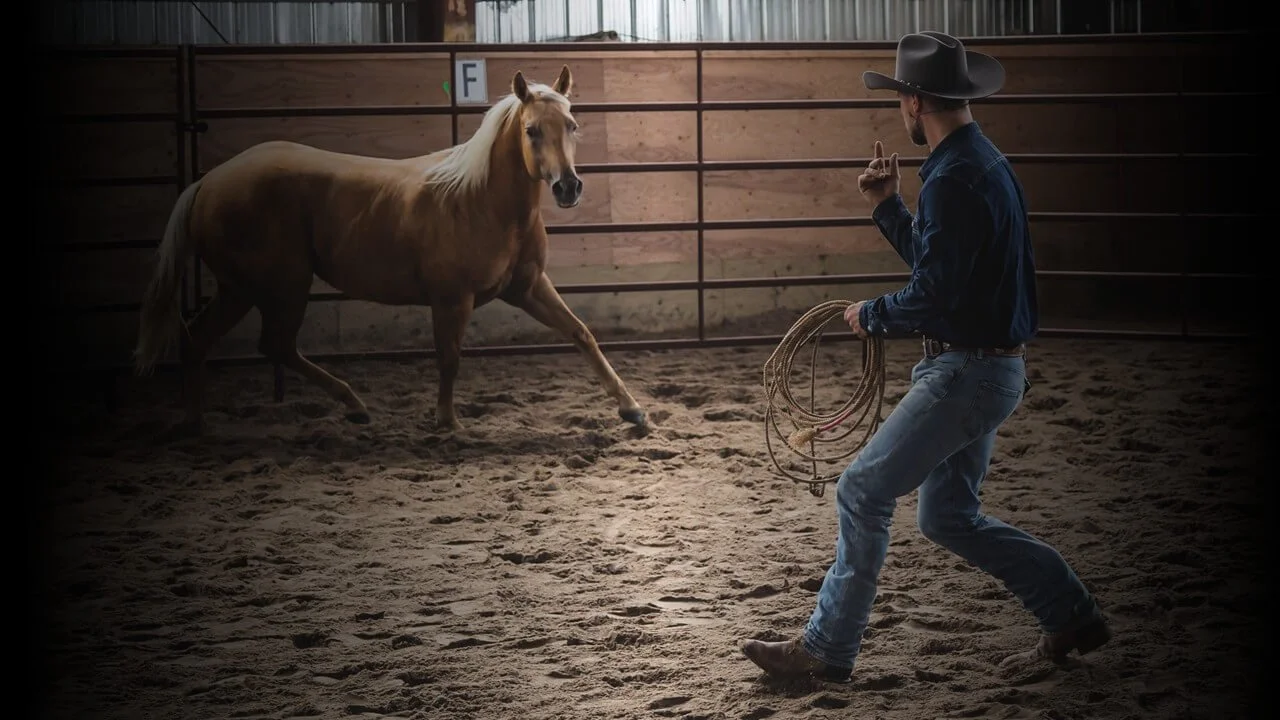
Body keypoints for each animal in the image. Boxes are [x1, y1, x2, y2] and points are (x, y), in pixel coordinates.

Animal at [132, 65, 648, 435]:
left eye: (572, 124)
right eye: (531, 131)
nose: (568, 187)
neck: (480, 201)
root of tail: (206, 183)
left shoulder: (528, 288)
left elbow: (582, 334)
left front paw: (633, 410)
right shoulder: (452, 299)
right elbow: (449, 356)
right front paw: (448, 422)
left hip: (241, 288)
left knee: (205, 340)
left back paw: (200, 423)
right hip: (277, 285)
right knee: (270, 344)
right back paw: (351, 405)